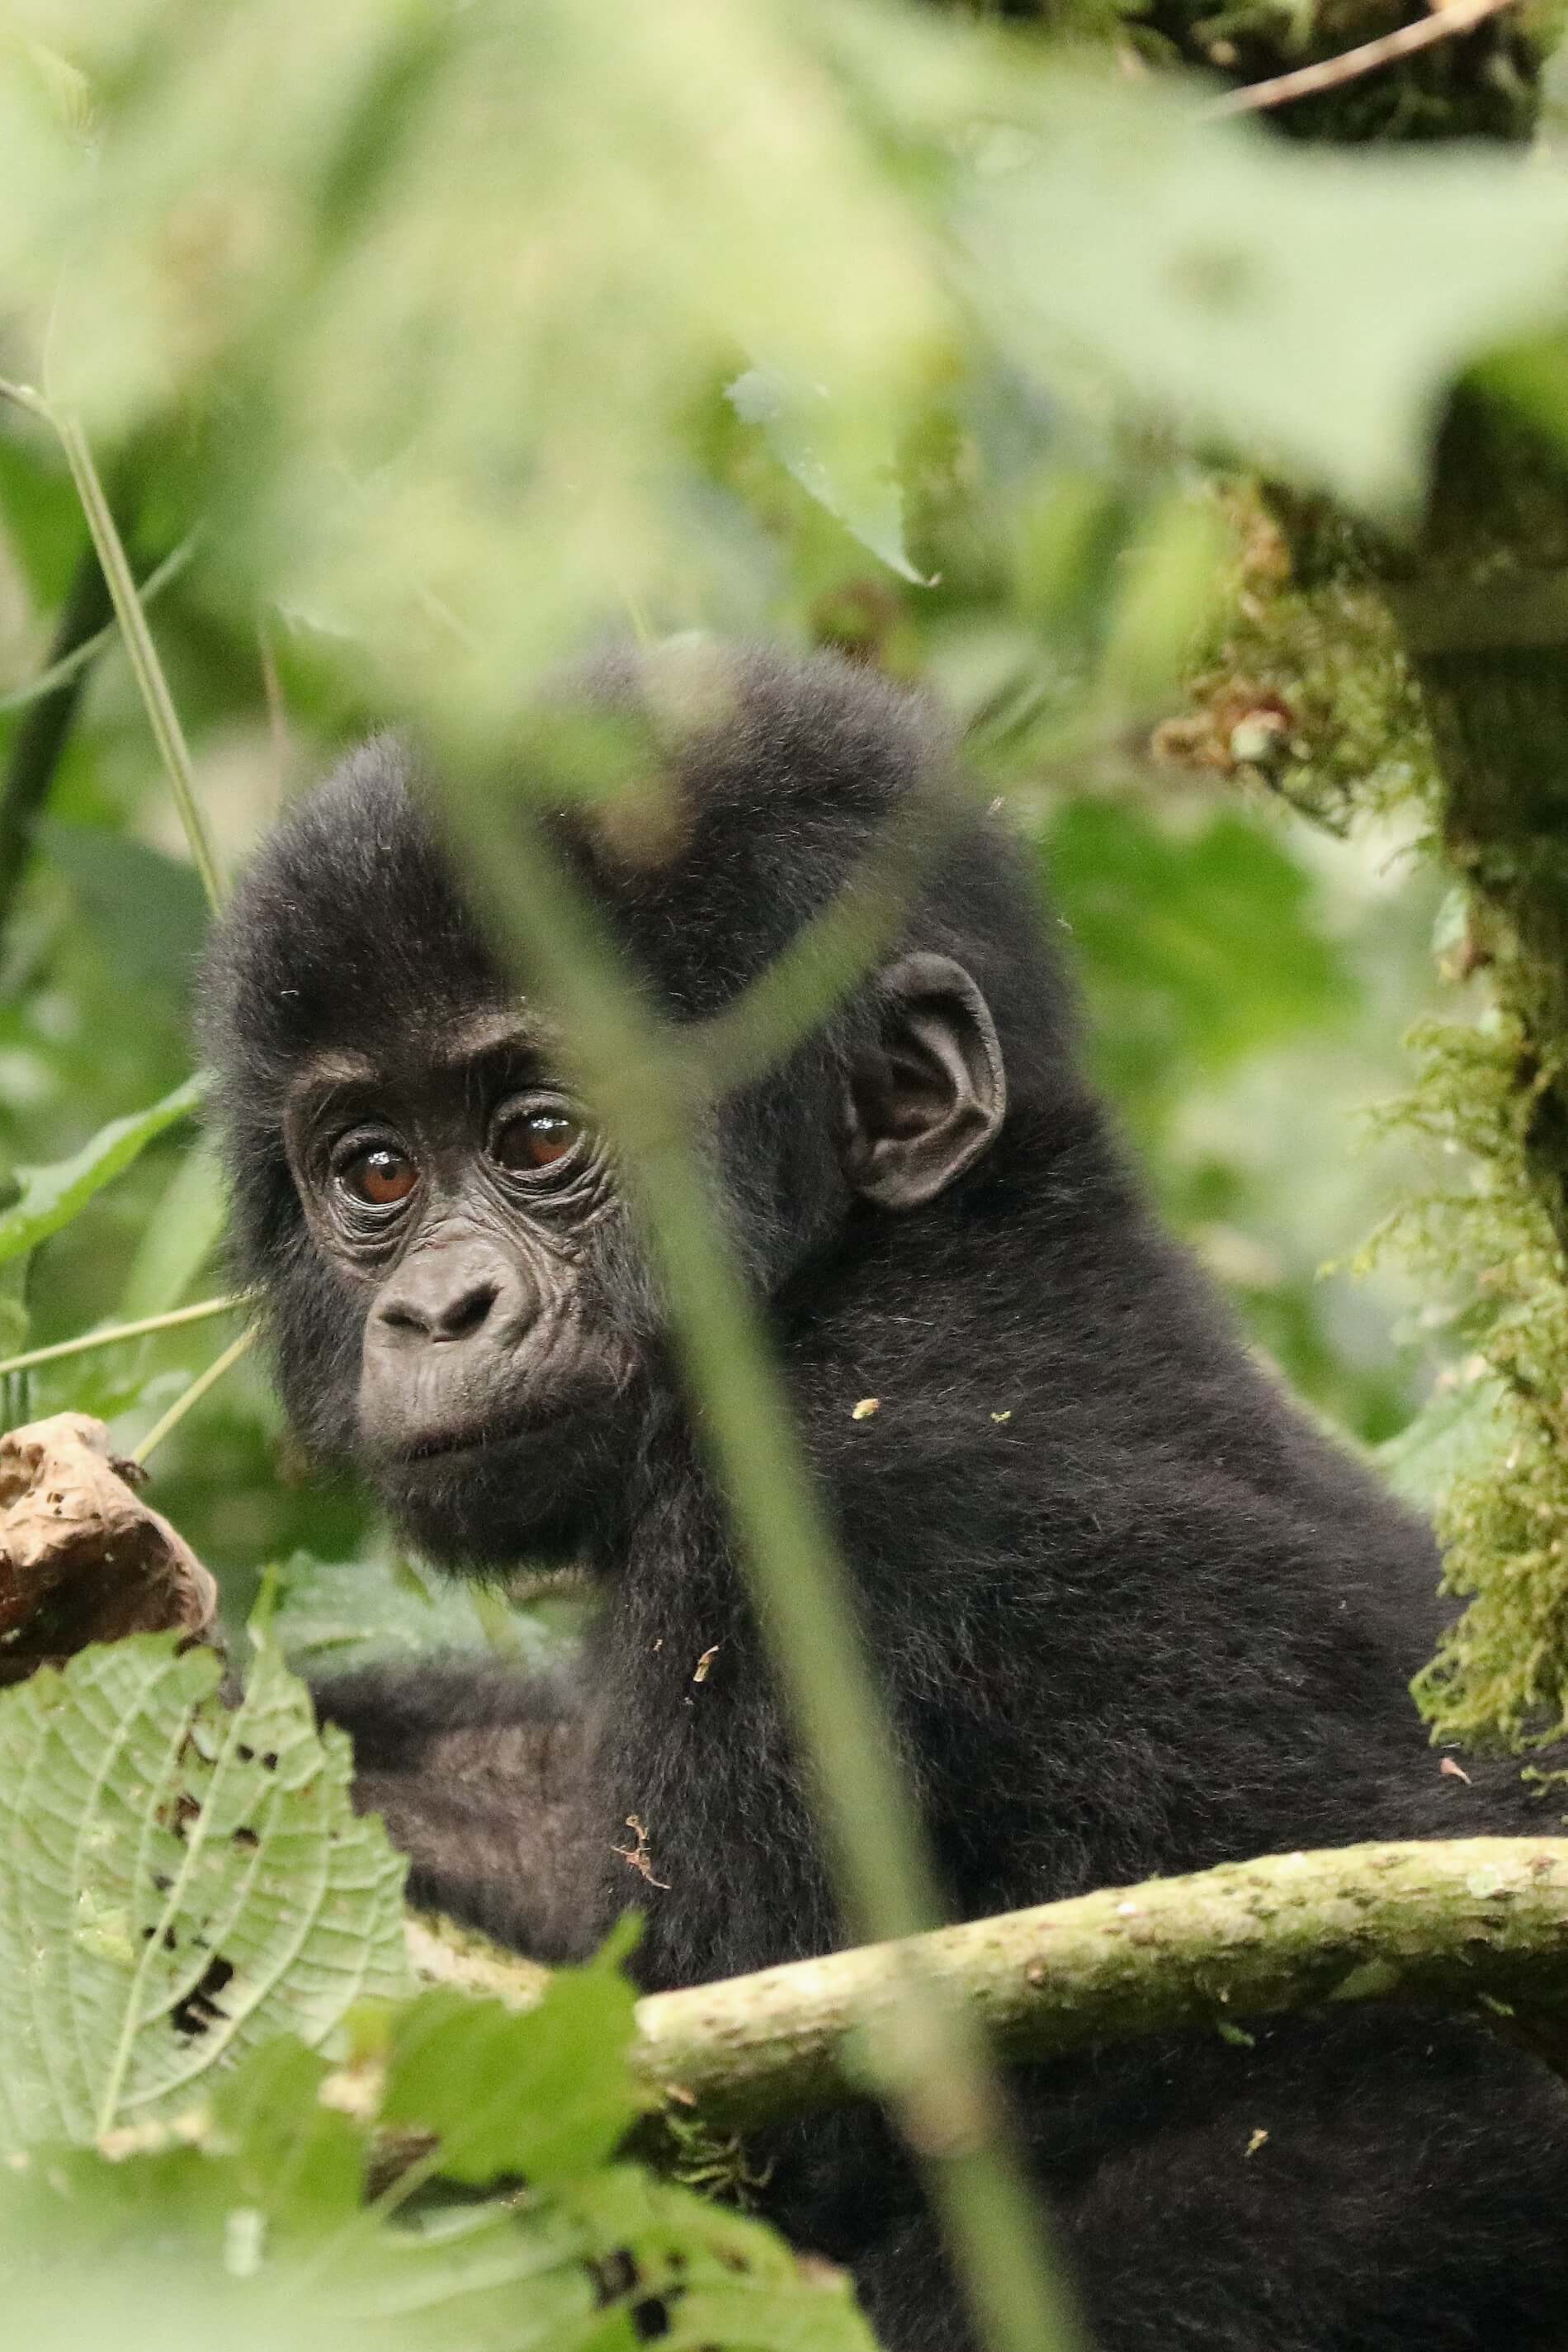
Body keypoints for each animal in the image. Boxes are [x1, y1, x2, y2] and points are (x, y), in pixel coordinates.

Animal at [201, 649, 1568, 2352]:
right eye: (374, 1172)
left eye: (540, 1136)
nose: (437, 1313)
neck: (891, 1258)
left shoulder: (824, 1521)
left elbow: (708, 2134)